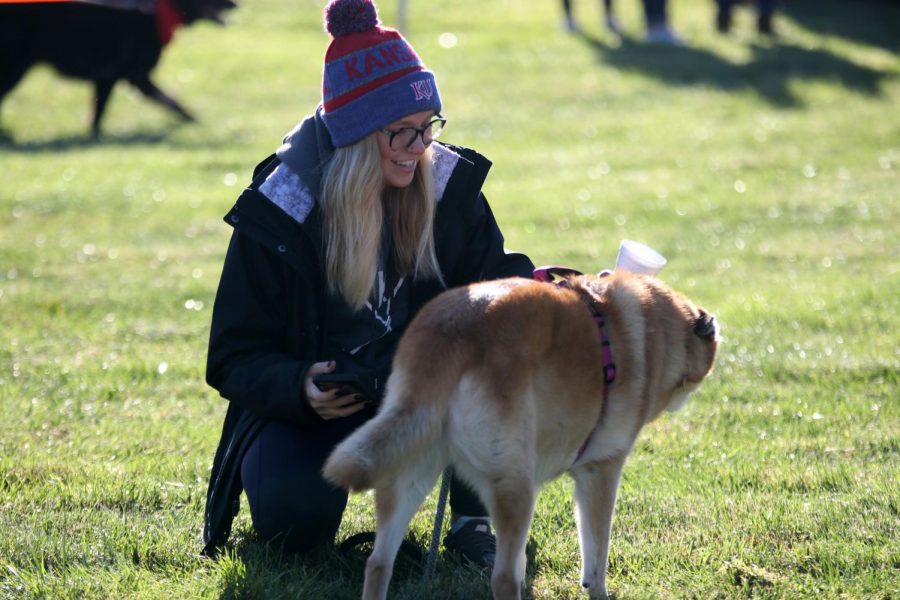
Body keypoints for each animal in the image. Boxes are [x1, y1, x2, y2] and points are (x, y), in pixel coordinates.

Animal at [0, 0, 236, 138]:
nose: (236, 4)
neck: (155, 12)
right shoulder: (115, 76)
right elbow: (98, 114)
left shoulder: (134, 78)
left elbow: (172, 102)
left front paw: (194, 121)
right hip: (15, 69)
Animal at [322, 274, 716, 600]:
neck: (651, 331)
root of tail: (449, 334)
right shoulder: (602, 472)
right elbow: (598, 550)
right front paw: (599, 592)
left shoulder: (583, 479)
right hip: (515, 487)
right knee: (504, 577)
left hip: (408, 468)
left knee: (378, 563)